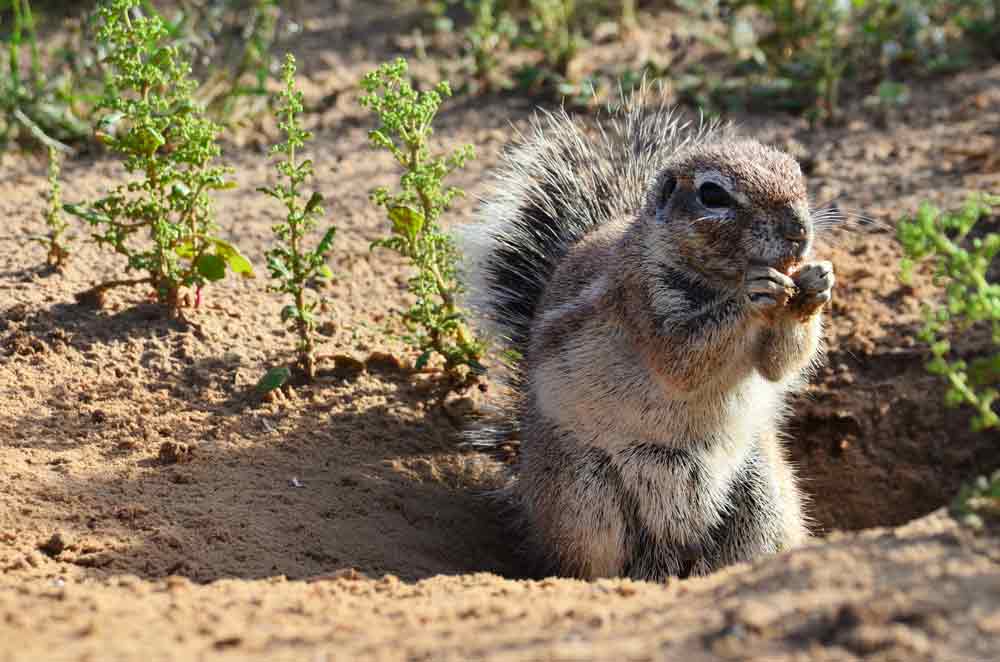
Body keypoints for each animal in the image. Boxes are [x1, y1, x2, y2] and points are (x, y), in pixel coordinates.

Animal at [464, 96, 832, 584]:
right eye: (713, 195)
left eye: (797, 172)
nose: (799, 231)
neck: (716, 279)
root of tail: (671, 548)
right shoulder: (640, 294)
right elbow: (680, 360)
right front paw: (755, 291)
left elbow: (777, 364)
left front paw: (816, 283)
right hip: (584, 494)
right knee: (588, 562)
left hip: (762, 496)